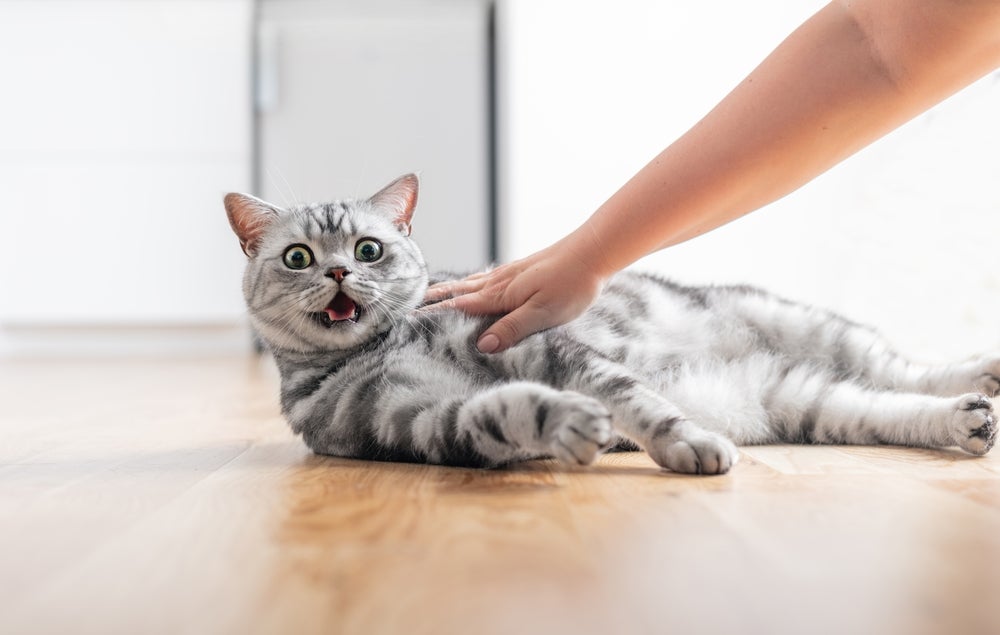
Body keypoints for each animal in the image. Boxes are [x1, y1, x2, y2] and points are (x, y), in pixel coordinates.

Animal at [227, 175, 1000, 476]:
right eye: (298, 256)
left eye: (368, 250)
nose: (337, 273)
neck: (387, 345)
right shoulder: (411, 422)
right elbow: (498, 413)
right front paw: (568, 425)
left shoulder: (538, 344)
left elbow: (634, 397)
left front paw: (686, 442)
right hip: (803, 398)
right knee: (886, 406)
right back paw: (965, 420)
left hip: (814, 330)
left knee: (902, 365)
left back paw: (978, 376)